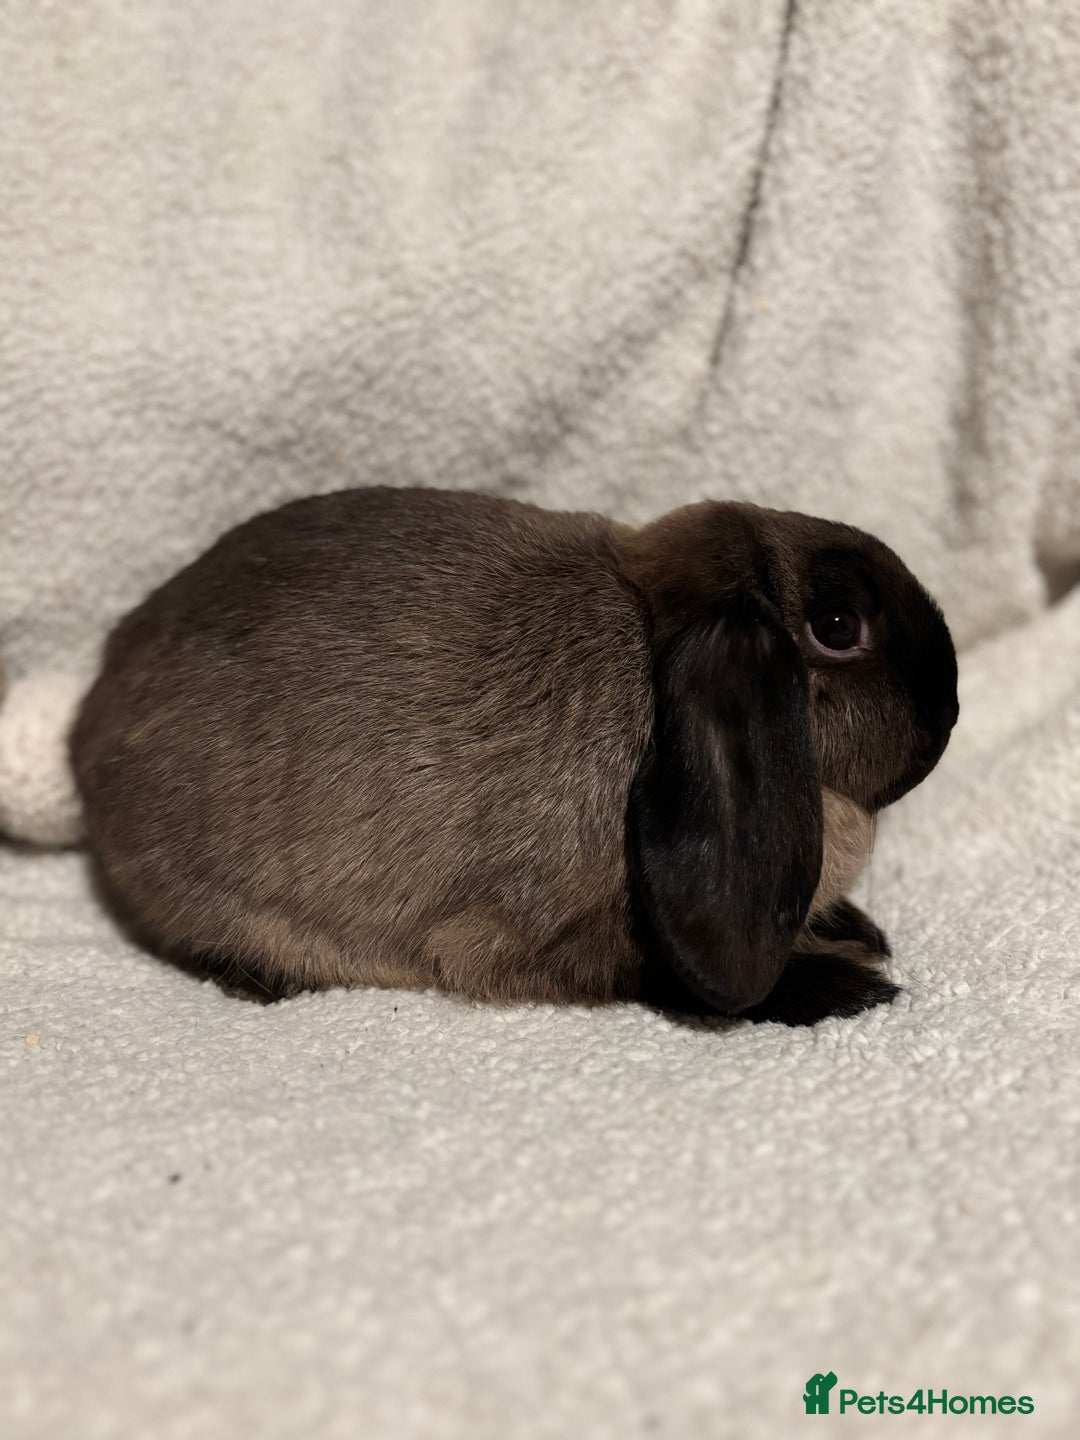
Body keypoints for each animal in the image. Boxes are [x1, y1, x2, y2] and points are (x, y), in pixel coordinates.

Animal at [71, 486, 958, 1025]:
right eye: (837, 625)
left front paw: (860, 931)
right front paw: (847, 986)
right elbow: (669, 975)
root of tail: (87, 724)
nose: (949, 710)